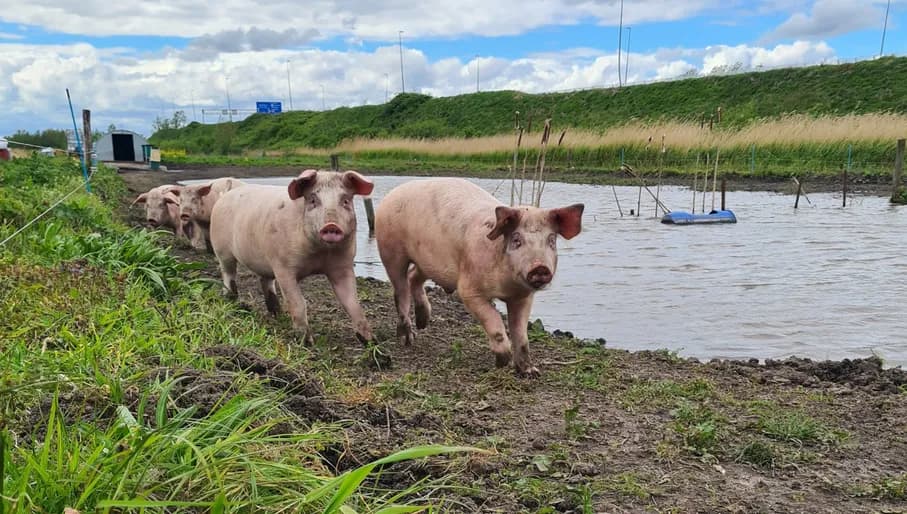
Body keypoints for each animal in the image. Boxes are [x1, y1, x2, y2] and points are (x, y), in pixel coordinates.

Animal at [209, 169, 375, 343]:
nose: (331, 225)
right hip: (222, 251)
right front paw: (306, 342)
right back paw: (233, 302)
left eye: (345, 201)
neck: (320, 254)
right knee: (229, 275)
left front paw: (372, 342)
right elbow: (298, 302)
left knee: (265, 281)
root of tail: (225, 195)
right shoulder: (283, 267)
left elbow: (353, 303)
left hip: (265, 262)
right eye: (313, 200)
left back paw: (277, 313)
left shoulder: (343, 266)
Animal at [375, 178, 583, 377]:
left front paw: (530, 372)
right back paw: (407, 339)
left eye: (551, 240)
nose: (540, 267)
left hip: (427, 262)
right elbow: (494, 319)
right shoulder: (469, 290)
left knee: (413, 278)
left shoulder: (523, 297)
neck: (506, 287)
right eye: (517, 240)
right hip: (391, 251)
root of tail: (391, 194)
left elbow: (521, 334)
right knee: (400, 291)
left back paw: (423, 323)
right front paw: (502, 362)